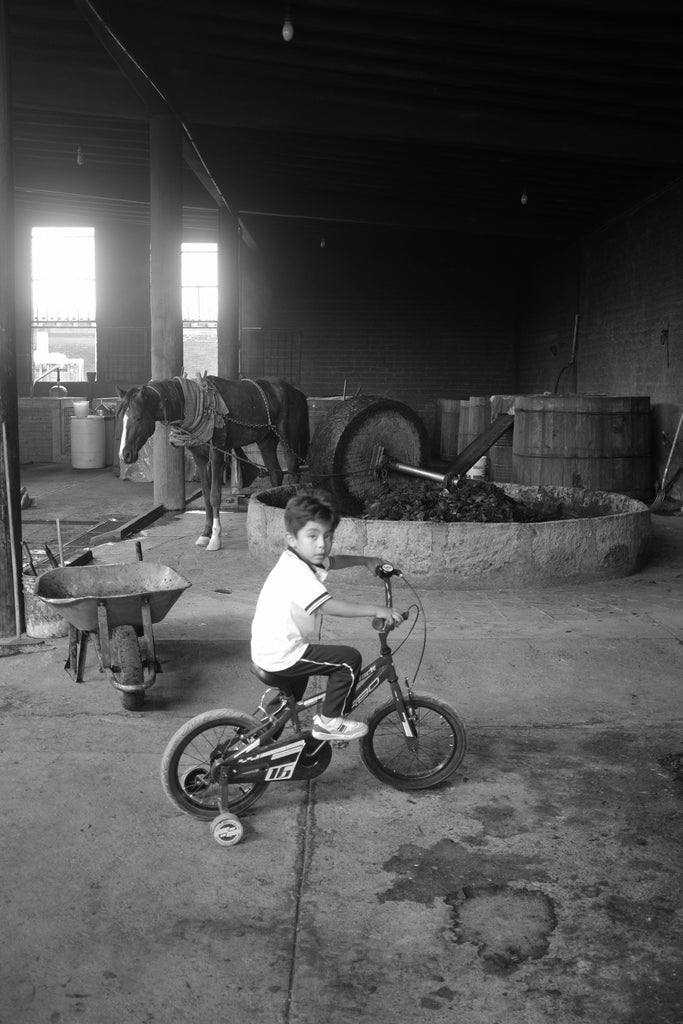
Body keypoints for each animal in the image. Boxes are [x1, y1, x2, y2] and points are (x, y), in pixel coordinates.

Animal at [117, 376, 309, 552]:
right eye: (121, 419)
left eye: (138, 418)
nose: (125, 455)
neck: (191, 403)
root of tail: (296, 392)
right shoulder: (199, 457)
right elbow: (206, 496)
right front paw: (205, 534)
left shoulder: (216, 453)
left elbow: (215, 495)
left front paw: (215, 538)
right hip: (266, 441)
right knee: (276, 474)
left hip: (288, 441)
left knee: (293, 474)